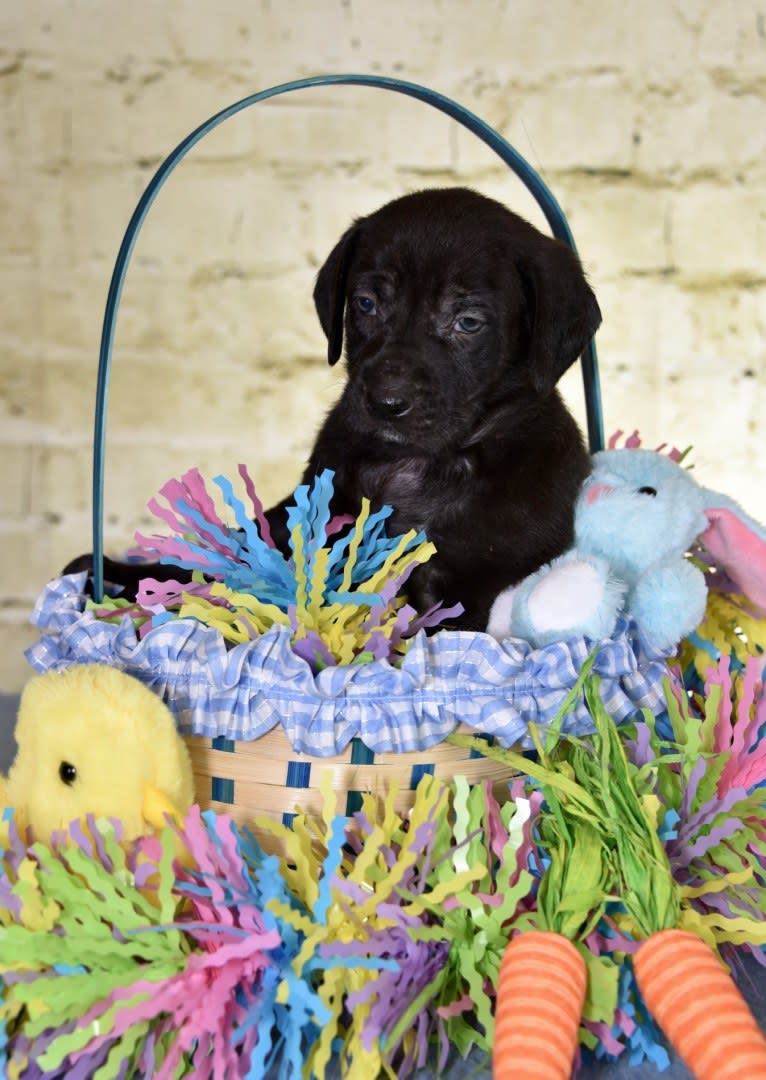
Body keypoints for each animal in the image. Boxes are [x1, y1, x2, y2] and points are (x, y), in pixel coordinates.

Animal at [73, 184, 596, 626]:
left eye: (468, 322)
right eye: (365, 304)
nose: (386, 403)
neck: (417, 464)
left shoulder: (469, 583)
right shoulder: (302, 521)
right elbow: (235, 555)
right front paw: (125, 576)